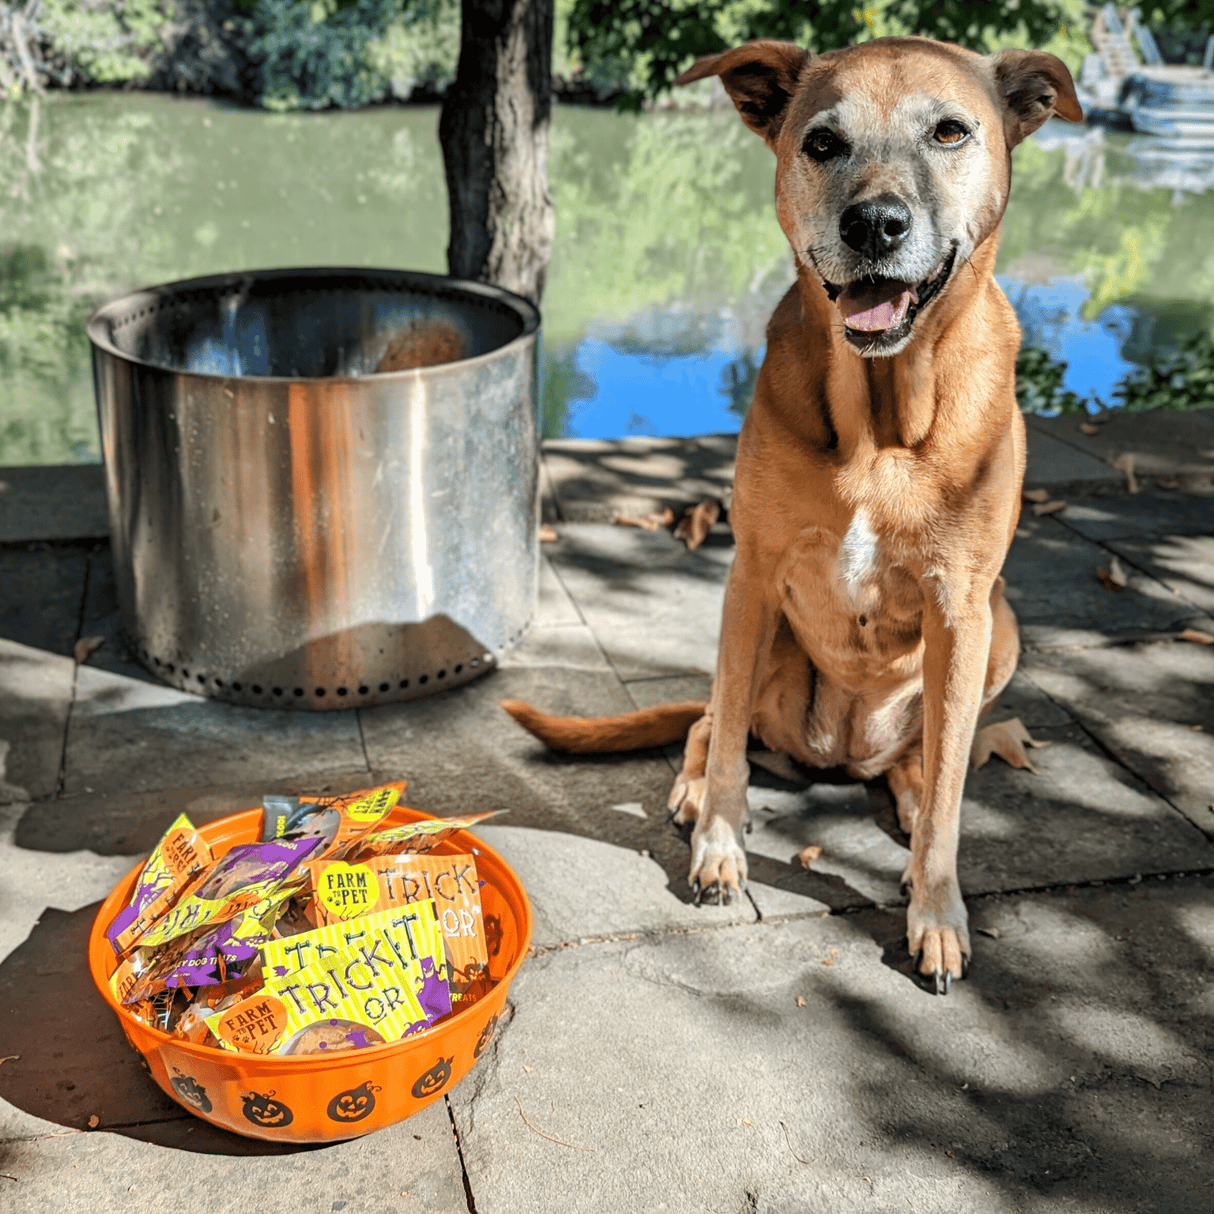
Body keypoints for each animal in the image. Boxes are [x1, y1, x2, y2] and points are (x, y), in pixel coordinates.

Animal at [502, 37, 1082, 990]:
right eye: (821, 143)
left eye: (950, 131)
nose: (874, 225)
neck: (881, 418)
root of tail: (836, 753)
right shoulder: (753, 568)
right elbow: (729, 744)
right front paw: (719, 846)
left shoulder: (962, 603)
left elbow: (951, 795)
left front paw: (936, 909)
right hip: (762, 629)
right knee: (712, 721)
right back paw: (695, 789)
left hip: (1000, 628)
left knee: (924, 760)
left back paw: (907, 794)